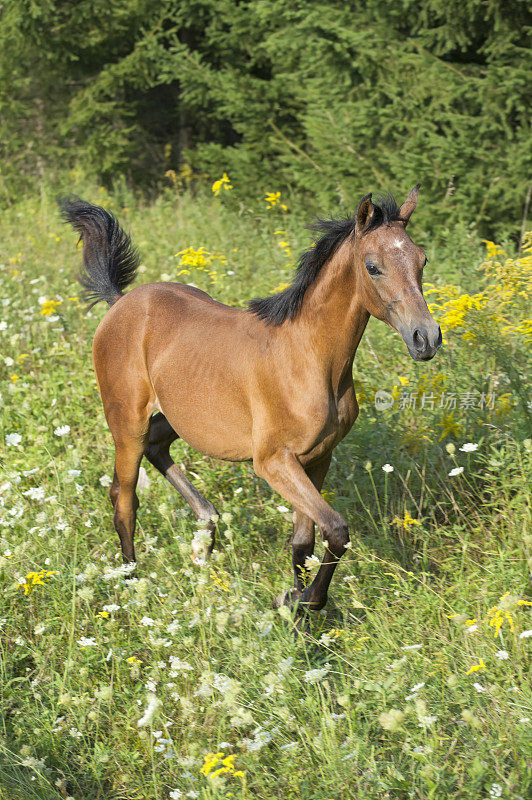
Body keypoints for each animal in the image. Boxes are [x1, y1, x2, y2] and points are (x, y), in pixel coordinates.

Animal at [60, 186, 440, 612]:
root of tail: (120, 301)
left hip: (178, 419)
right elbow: (337, 530)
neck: (309, 356)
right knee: (123, 499)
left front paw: (297, 608)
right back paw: (130, 583)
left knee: (159, 451)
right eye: (373, 266)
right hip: (126, 423)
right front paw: (303, 600)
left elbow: (303, 543)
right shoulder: (274, 462)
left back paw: (204, 543)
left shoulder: (318, 458)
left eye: (422, 259)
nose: (426, 338)